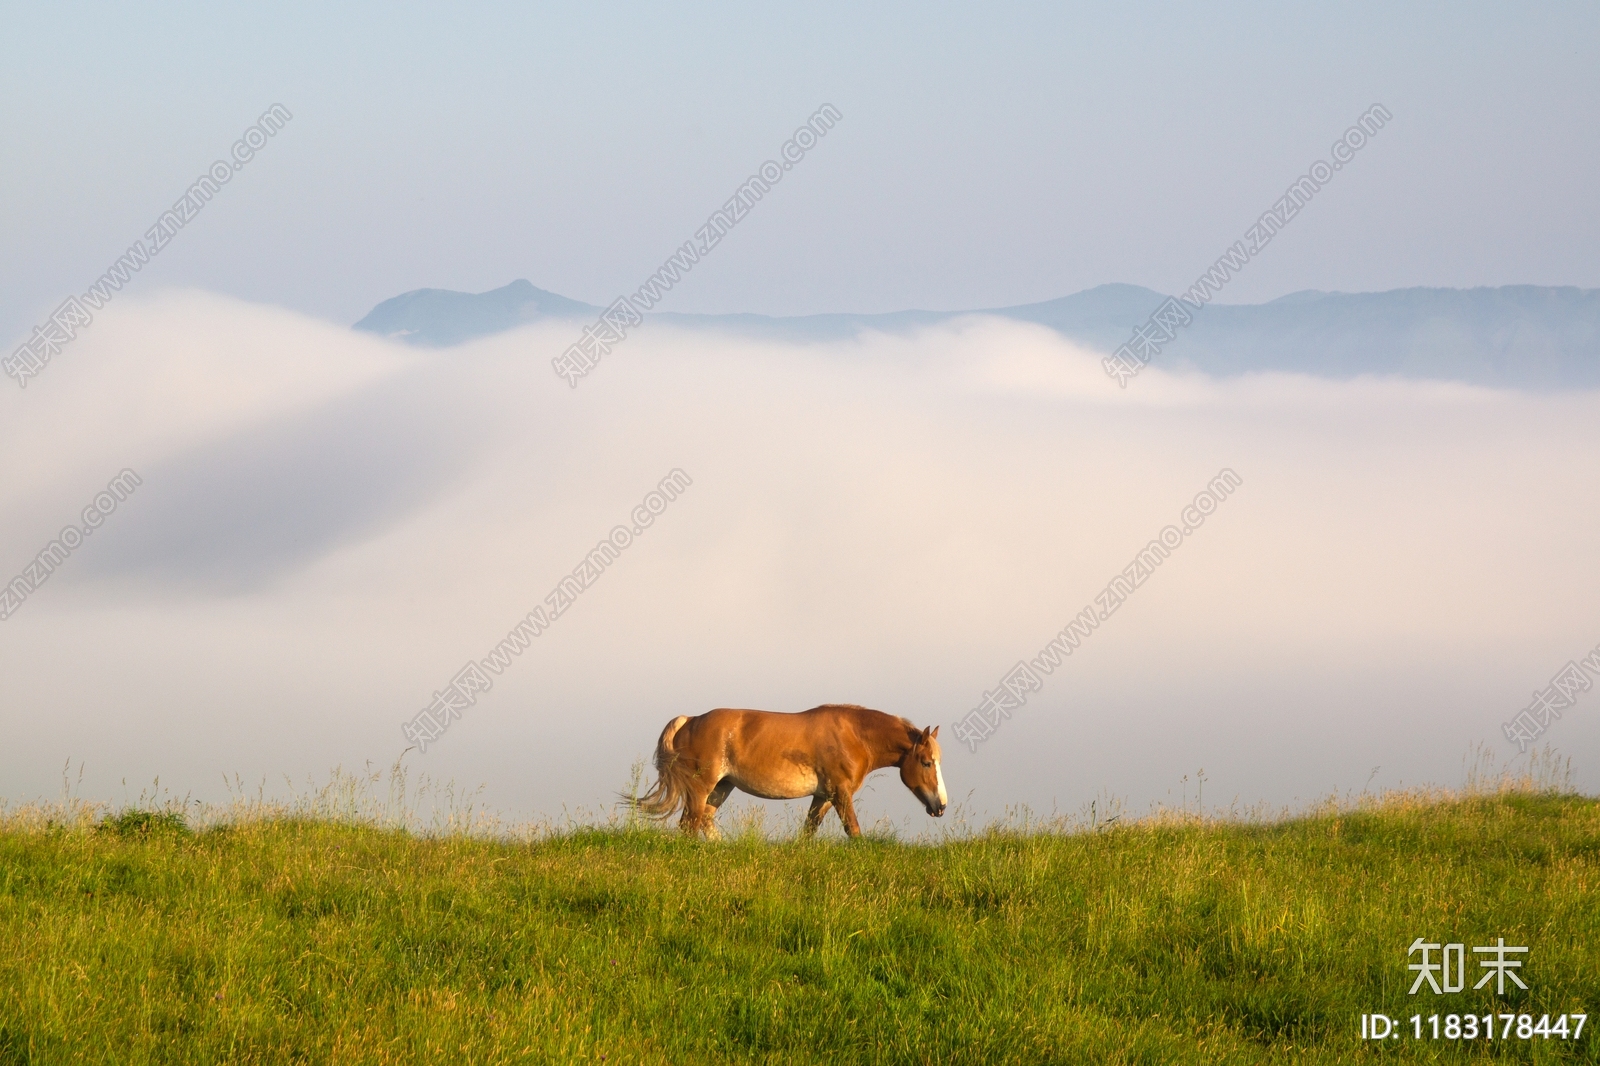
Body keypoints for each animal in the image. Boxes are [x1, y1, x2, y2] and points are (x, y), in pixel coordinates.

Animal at [630, 701, 940, 832]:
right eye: (926, 763)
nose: (940, 806)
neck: (854, 736)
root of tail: (690, 719)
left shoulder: (824, 796)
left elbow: (808, 831)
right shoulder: (840, 794)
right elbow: (853, 830)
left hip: (721, 787)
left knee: (703, 821)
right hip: (700, 787)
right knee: (689, 824)